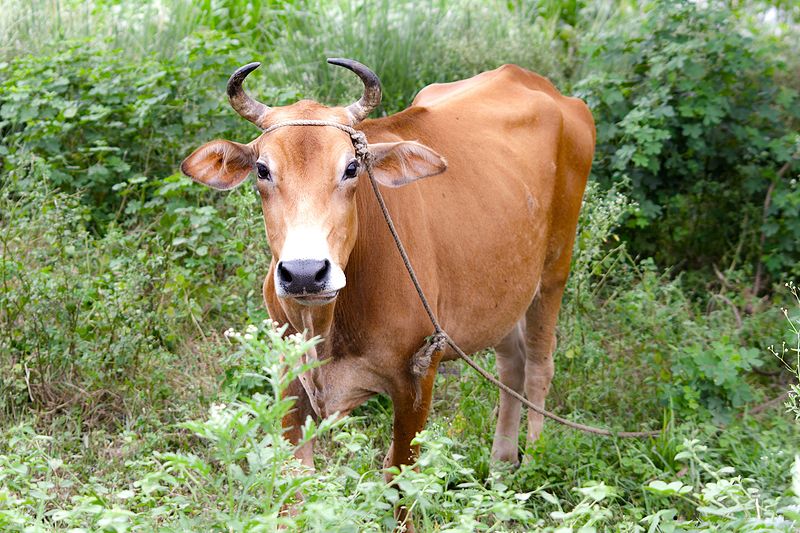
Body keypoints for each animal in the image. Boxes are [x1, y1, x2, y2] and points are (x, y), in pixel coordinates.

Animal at [181, 58, 595, 526]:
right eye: (262, 170)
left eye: (351, 168)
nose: (305, 273)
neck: (328, 325)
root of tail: (536, 83)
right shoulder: (289, 385)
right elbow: (294, 494)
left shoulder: (418, 374)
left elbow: (400, 479)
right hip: (504, 290)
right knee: (513, 364)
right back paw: (502, 463)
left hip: (554, 269)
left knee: (540, 365)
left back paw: (536, 460)